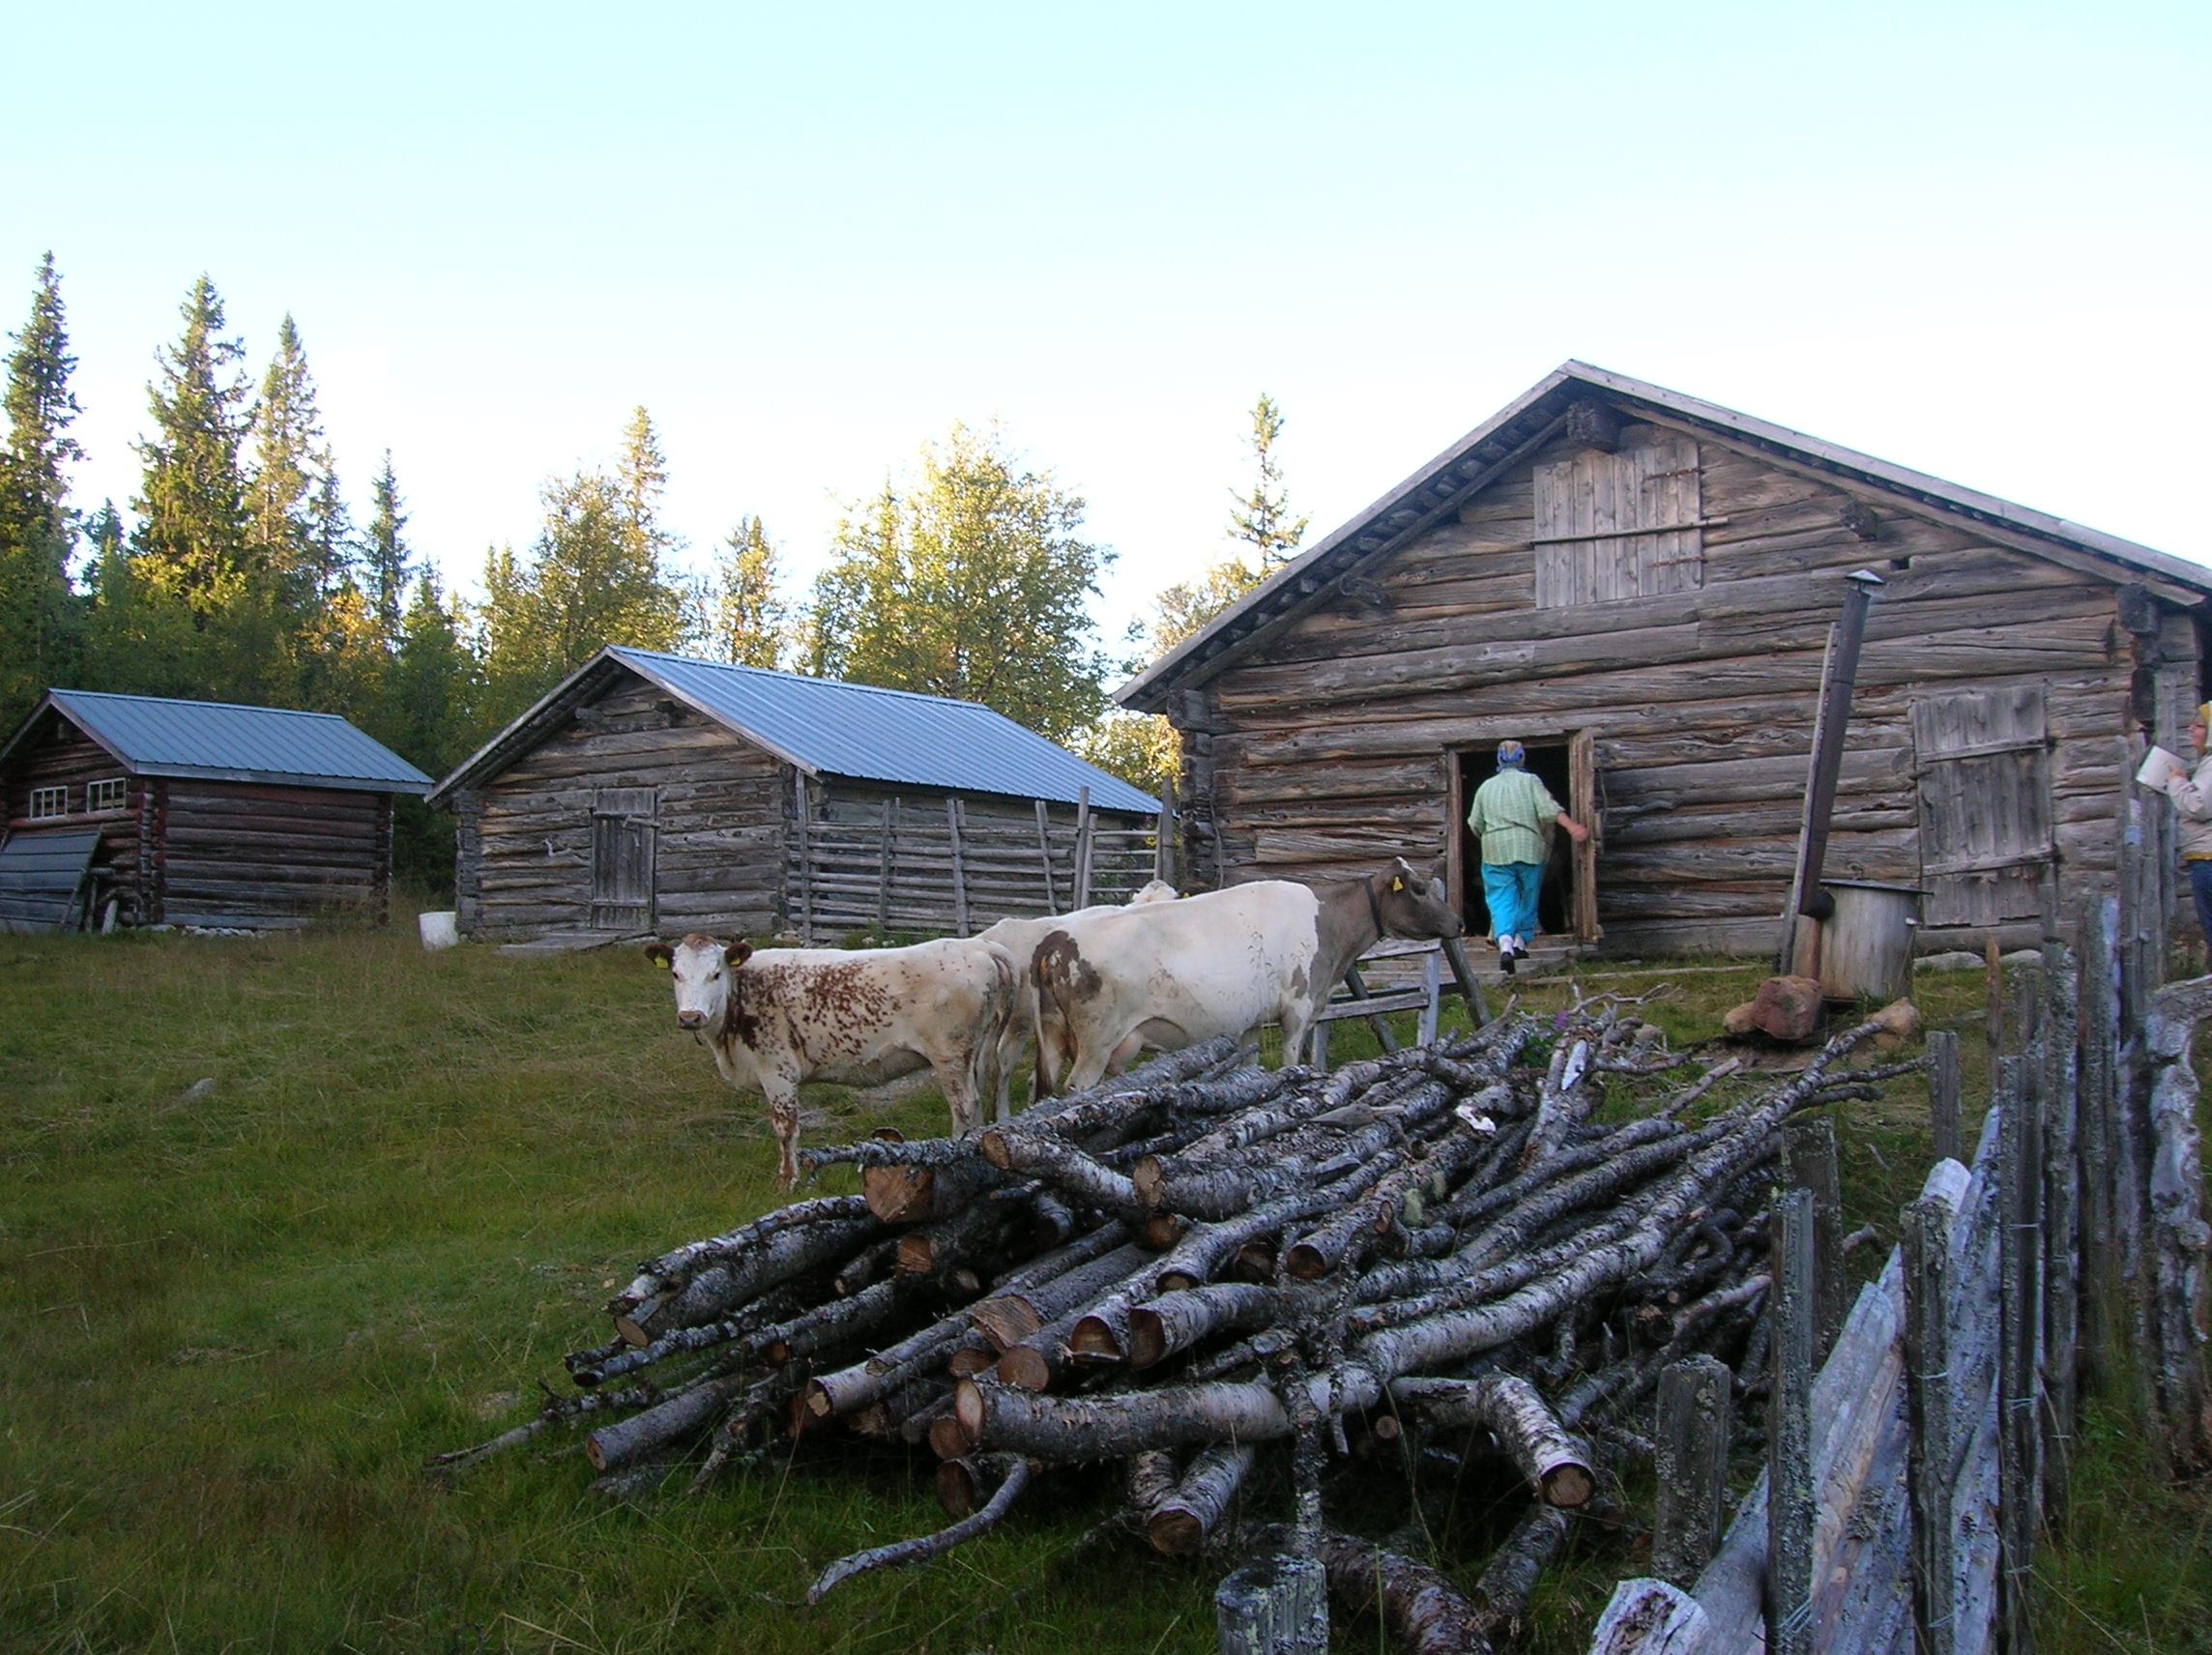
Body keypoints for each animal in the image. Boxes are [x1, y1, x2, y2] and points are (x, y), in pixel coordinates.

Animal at [641, 929, 1017, 1185]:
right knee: (976, 1102)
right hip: (973, 1054)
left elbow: (786, 1126)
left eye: (715, 974)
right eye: (676, 974)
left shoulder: (777, 1070)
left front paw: (787, 1180)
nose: (690, 1016)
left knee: (963, 1106)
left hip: (949, 1055)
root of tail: (977, 945)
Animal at [973, 871, 1177, 1119]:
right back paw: (1002, 1115)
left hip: (992, 1022)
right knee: (1003, 1062)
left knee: (981, 1066)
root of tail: (992, 940)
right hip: (1019, 1018)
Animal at [1034, 854, 1469, 1097]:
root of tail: (1056, 938)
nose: (1459, 922)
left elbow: (1249, 1069)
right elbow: (1291, 1062)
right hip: (1097, 1041)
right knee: (1075, 1089)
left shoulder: (1251, 1020)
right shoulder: (1298, 1007)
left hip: (1054, 1039)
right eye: (1418, 888)